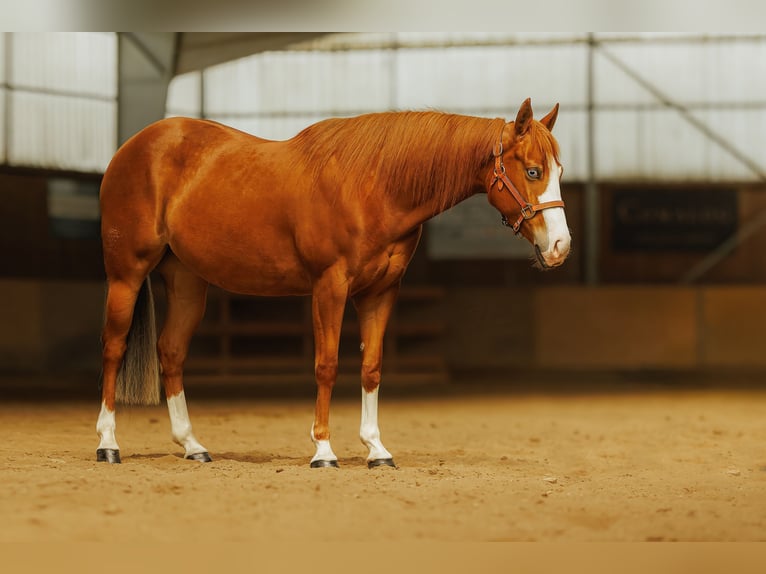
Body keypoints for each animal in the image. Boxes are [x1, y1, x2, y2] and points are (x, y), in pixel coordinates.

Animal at [96, 98, 571, 468]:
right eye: (532, 171)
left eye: (559, 171)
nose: (560, 246)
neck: (374, 186)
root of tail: (133, 147)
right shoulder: (330, 286)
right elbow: (326, 365)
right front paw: (323, 450)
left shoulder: (380, 293)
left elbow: (371, 367)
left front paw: (377, 450)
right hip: (126, 274)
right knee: (115, 349)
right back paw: (108, 444)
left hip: (187, 283)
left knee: (171, 353)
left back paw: (193, 446)